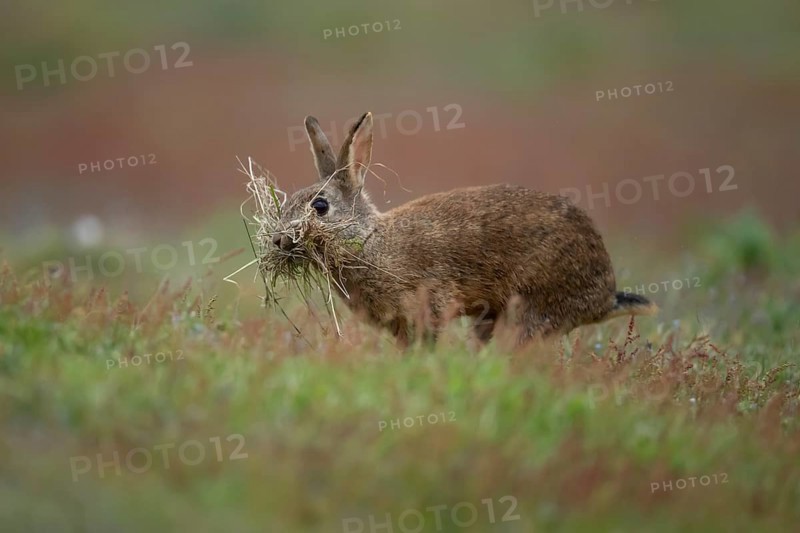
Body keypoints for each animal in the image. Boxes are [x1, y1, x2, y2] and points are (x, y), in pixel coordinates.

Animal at [271, 111, 657, 347]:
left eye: (320, 207)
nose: (278, 239)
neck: (367, 241)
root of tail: (604, 296)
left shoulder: (429, 303)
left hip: (531, 306)